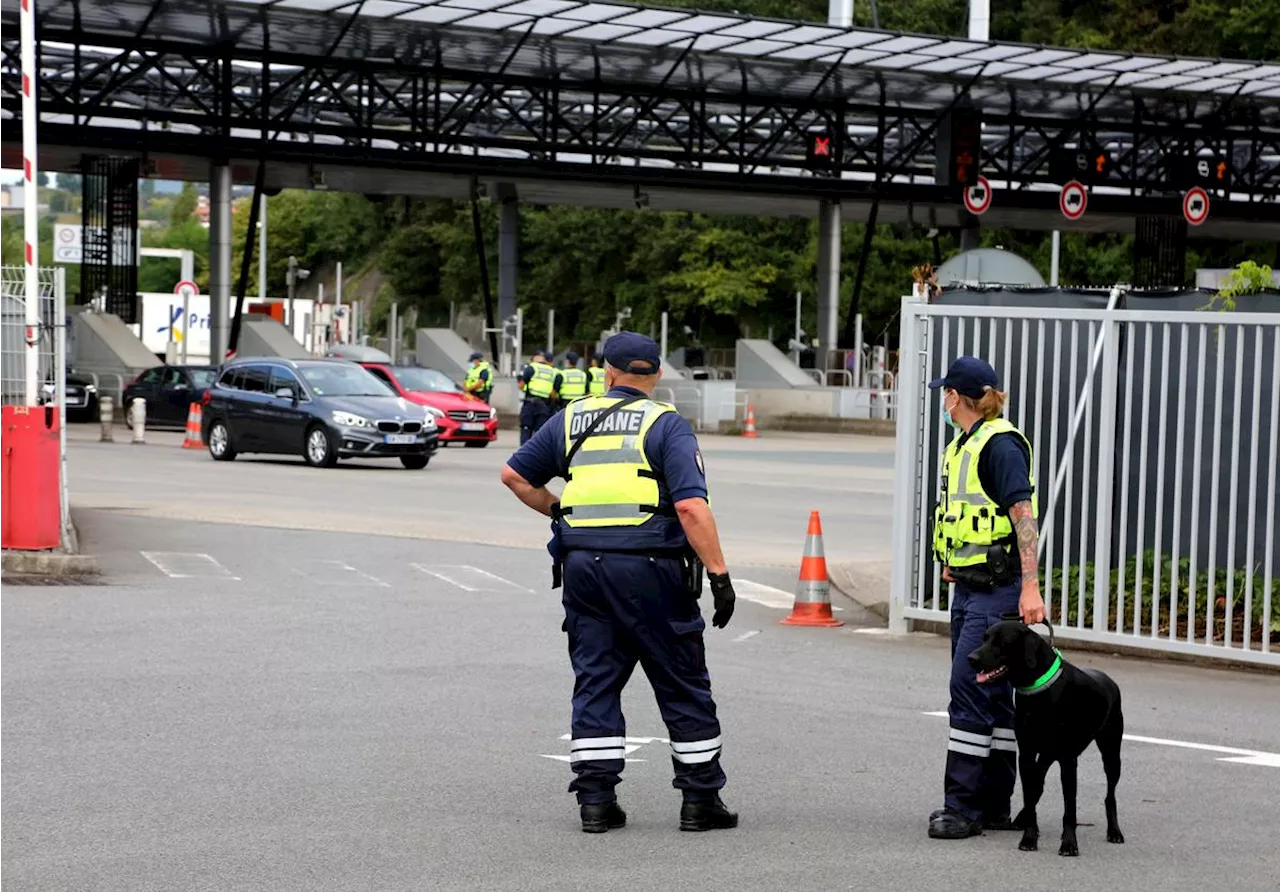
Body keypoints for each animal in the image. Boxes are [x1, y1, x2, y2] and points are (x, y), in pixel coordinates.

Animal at [962, 619, 1126, 854]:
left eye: (1002, 642)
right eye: (984, 638)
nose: (971, 658)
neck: (1039, 690)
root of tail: (1109, 680)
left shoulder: (1068, 760)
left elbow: (1070, 808)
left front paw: (1069, 844)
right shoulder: (1027, 755)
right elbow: (1030, 797)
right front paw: (1029, 838)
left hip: (1111, 755)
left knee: (1110, 795)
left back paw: (1114, 832)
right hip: (1047, 754)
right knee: (1037, 785)